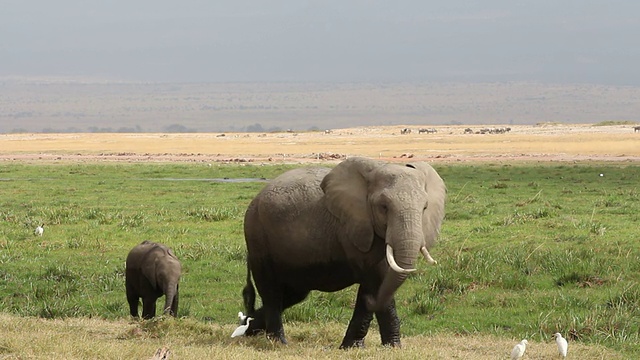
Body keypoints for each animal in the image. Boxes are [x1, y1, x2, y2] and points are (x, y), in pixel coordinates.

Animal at [240, 156, 444, 348]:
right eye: (383, 207)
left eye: (425, 208)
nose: (372, 301)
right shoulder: (354, 228)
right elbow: (375, 279)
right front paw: (380, 347)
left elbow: (381, 279)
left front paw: (378, 347)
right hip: (257, 235)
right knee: (271, 291)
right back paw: (278, 342)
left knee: (292, 294)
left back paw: (244, 330)